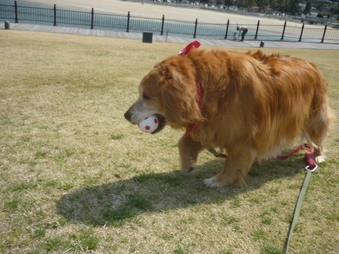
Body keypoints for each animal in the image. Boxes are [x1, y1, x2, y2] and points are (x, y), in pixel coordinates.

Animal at [124, 43, 332, 187]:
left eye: (146, 96)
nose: (126, 115)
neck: (204, 85)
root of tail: (312, 65)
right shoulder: (213, 124)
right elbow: (184, 142)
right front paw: (187, 163)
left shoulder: (241, 136)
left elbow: (232, 162)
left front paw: (219, 180)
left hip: (314, 117)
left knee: (318, 139)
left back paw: (317, 156)